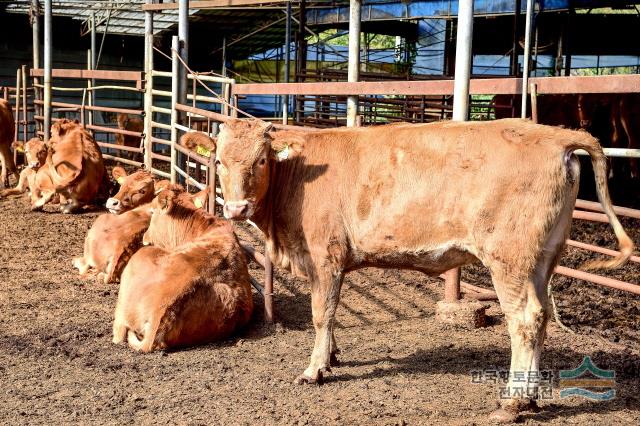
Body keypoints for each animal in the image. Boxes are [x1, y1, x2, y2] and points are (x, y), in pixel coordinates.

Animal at [212, 118, 632, 422]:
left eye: (261, 160)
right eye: (219, 161)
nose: (235, 209)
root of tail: (553, 134)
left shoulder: (325, 255)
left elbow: (322, 314)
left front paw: (314, 369)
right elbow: (330, 315)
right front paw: (331, 356)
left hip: (509, 257)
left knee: (525, 319)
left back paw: (513, 403)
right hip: (543, 257)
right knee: (542, 315)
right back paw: (529, 399)